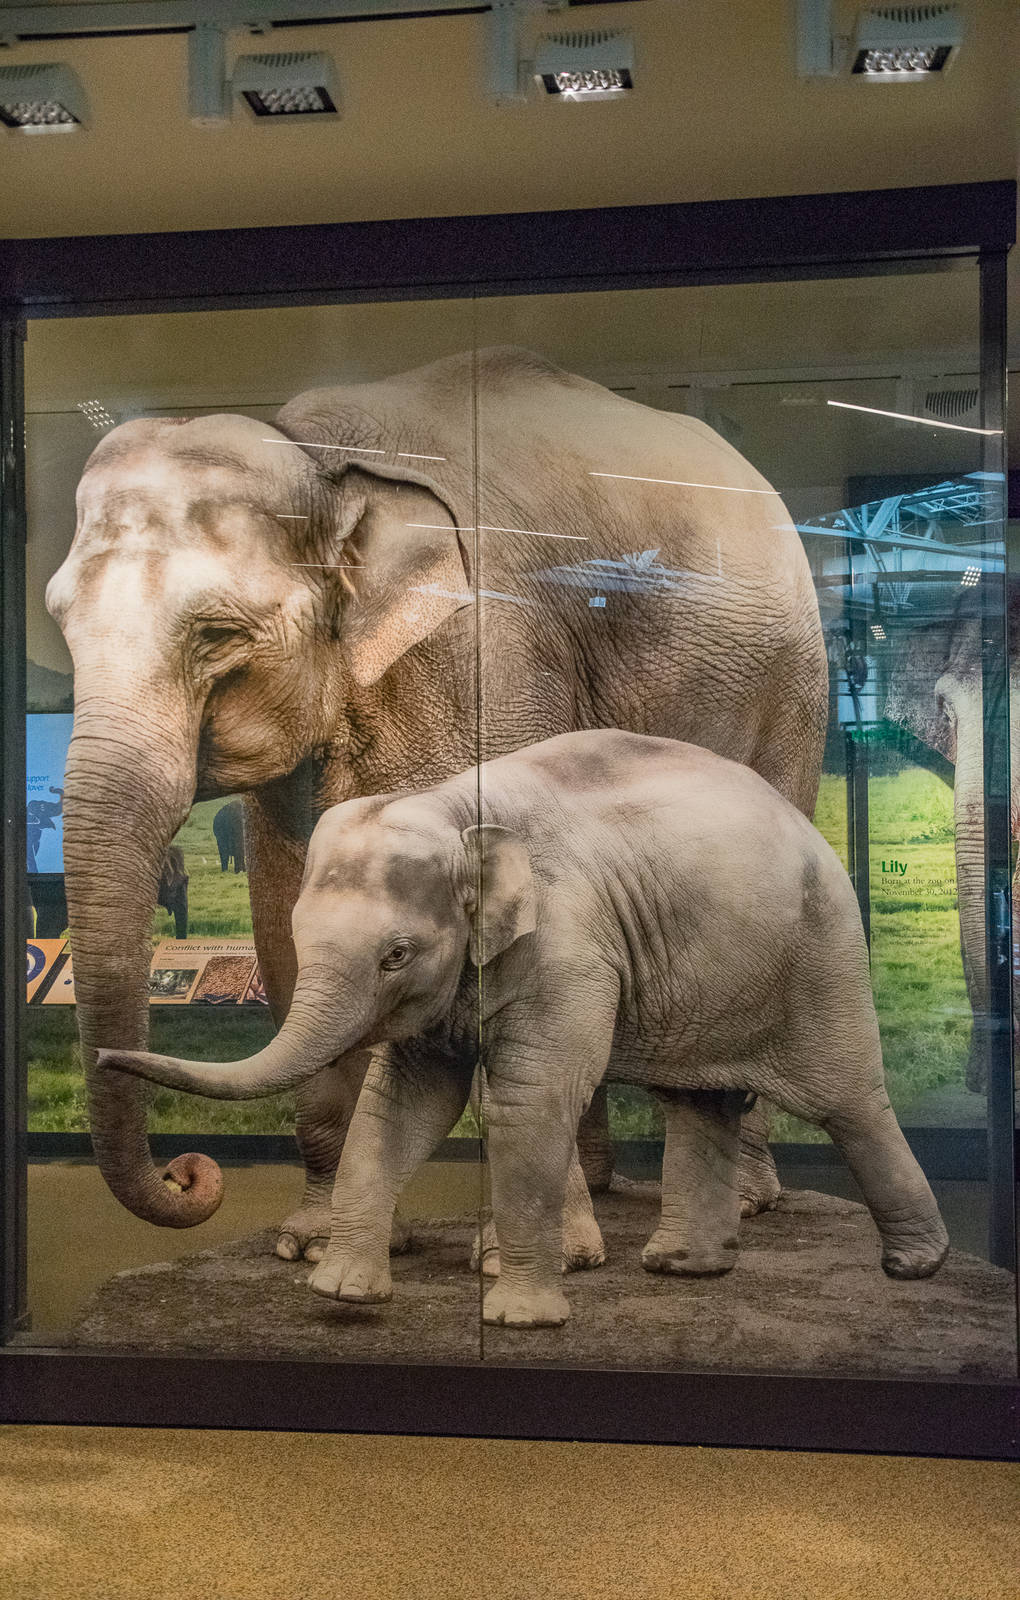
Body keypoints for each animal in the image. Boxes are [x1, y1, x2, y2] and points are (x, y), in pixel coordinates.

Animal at [46, 344, 827, 1260]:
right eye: (60, 625)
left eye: (217, 635)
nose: (187, 1175)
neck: (320, 461)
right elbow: (287, 922)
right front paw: (312, 1241)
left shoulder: (484, 652)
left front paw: (545, 1254)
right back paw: (610, 1187)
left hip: (793, 692)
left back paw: (743, 1205)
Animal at [102, 730, 949, 1329]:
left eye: (395, 955)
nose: (109, 1057)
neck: (455, 807)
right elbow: (401, 1105)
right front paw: (341, 1293)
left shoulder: (567, 945)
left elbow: (528, 1101)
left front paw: (519, 1321)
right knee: (697, 1103)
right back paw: (682, 1268)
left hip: (821, 953)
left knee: (848, 1102)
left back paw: (915, 1268)